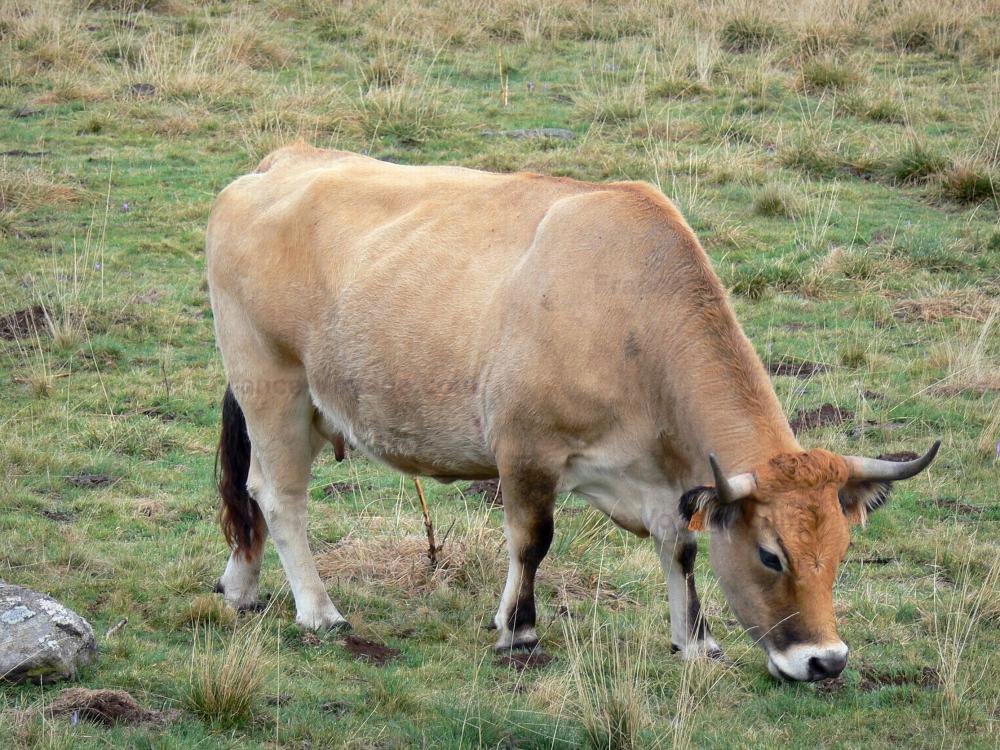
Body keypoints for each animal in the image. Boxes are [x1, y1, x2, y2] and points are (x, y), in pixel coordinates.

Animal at [206, 143, 939, 682]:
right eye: (770, 556)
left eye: (841, 551)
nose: (826, 661)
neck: (631, 309)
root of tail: (281, 161)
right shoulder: (525, 448)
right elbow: (533, 540)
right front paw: (519, 629)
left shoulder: (671, 481)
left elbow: (681, 549)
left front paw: (694, 640)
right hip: (271, 385)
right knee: (279, 496)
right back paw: (318, 610)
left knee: (249, 496)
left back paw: (242, 588)